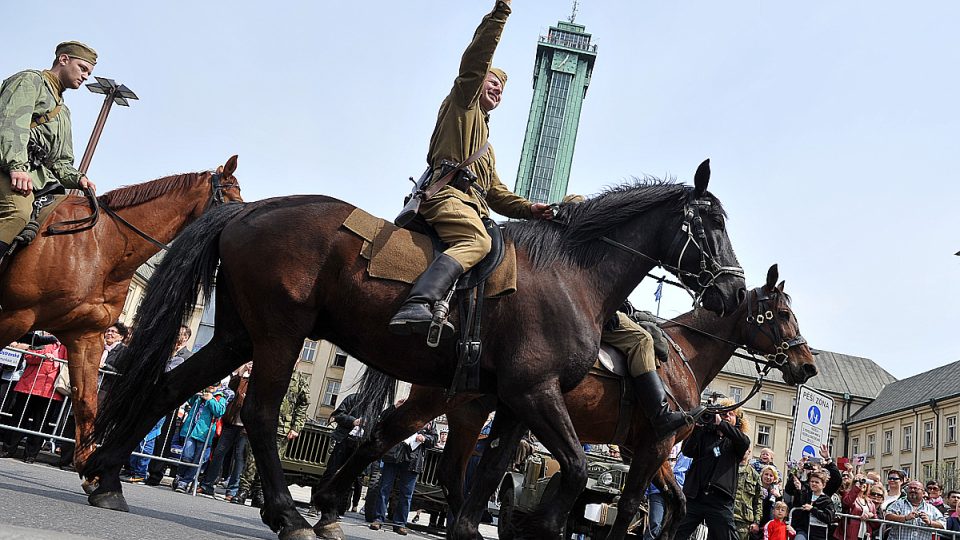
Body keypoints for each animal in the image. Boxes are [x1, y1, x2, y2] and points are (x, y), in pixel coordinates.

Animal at [0, 154, 244, 470]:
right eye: (232, 200)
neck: (102, 247)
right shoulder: (18, 315)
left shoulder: (85, 337)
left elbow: (87, 404)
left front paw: (92, 471)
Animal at [86, 161, 748, 540]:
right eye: (711, 219)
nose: (734, 291)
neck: (574, 274)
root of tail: (249, 208)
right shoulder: (535, 392)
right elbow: (575, 469)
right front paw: (535, 527)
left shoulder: (513, 399)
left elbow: (489, 472)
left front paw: (475, 529)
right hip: (279, 333)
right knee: (260, 413)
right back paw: (291, 515)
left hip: (238, 334)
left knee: (172, 386)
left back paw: (109, 478)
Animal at [318, 264, 812, 536]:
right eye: (782, 313)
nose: (806, 366)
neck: (681, 357)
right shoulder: (653, 445)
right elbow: (630, 506)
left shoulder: (645, 450)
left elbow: (677, 505)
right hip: (439, 404)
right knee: (388, 440)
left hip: (467, 413)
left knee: (441, 464)